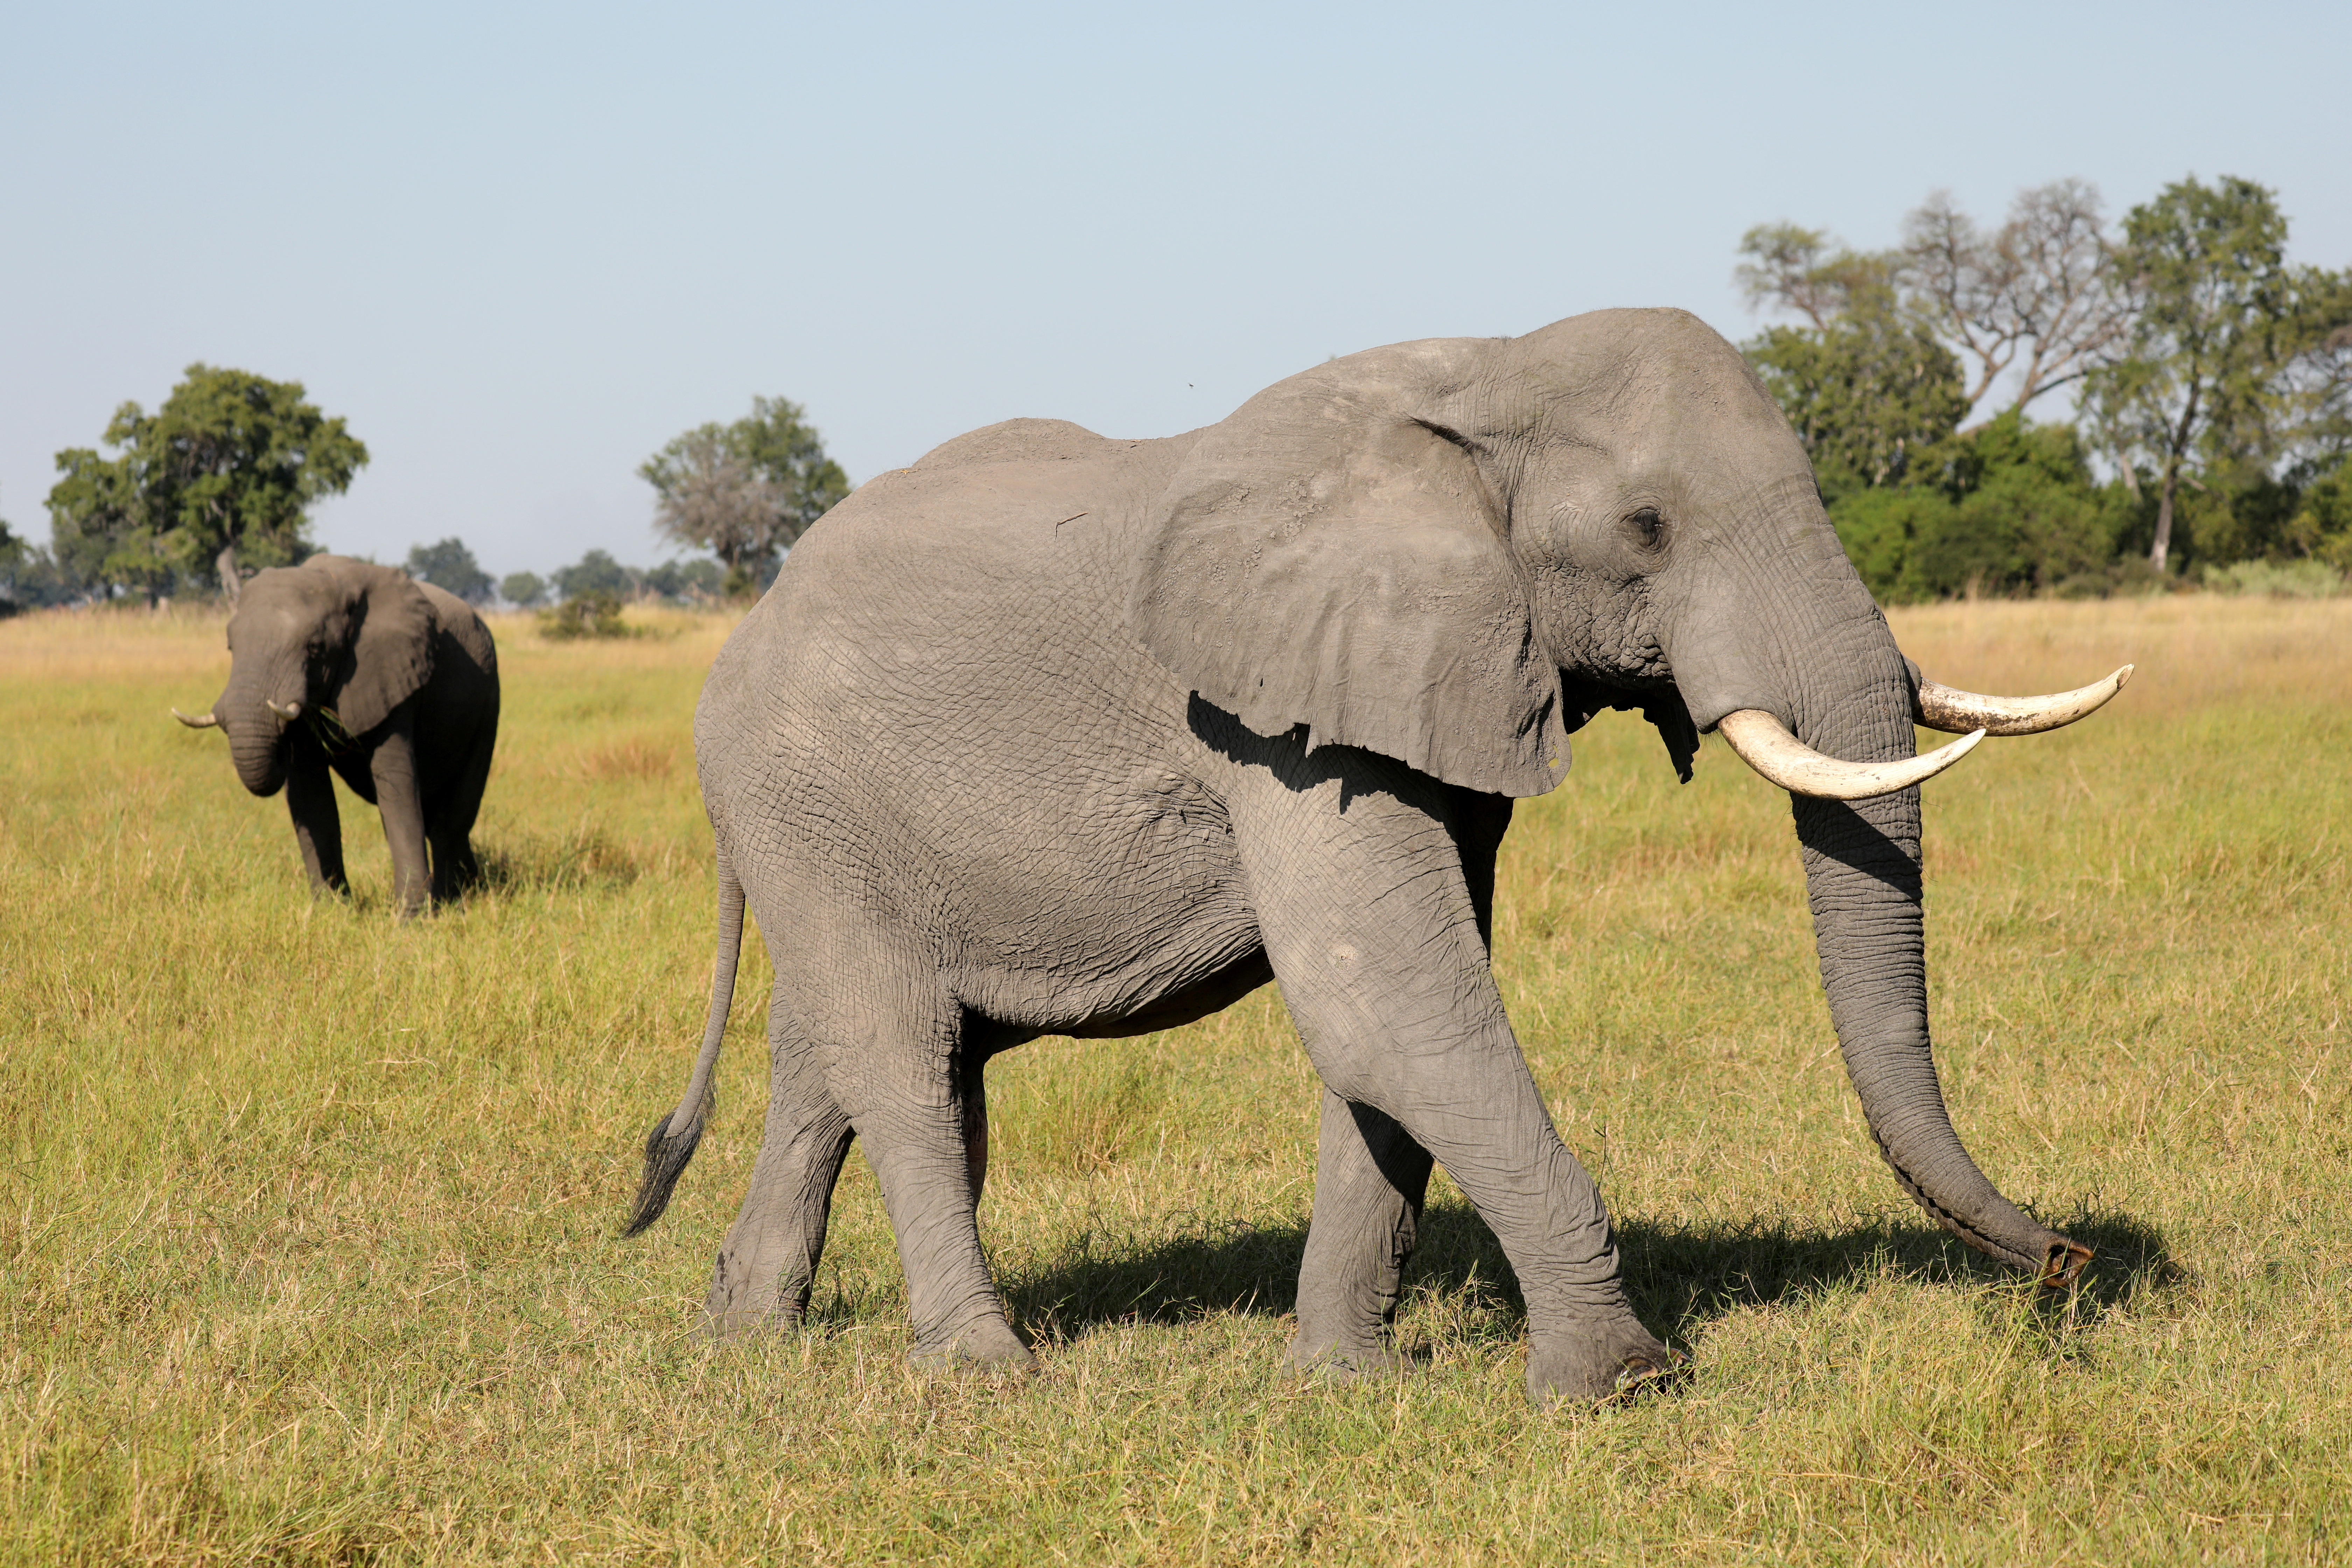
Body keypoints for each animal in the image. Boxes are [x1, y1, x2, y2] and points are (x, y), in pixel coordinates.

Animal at [174, 554, 500, 916]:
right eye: (230, 646)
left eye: (316, 648)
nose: (277, 742)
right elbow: (311, 795)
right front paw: (331, 913)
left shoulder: (392, 671)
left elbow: (397, 788)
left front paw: (411, 918)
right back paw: (469, 887)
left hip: (489, 700)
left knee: (453, 814)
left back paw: (455, 898)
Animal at [621, 308, 2130, 1406]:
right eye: (1645, 529)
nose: (2071, 1264)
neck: (1487, 375)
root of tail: (745, 627)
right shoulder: (1272, 720)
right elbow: (1389, 1003)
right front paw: (1616, 1386)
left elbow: (1396, 1029)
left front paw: (1341, 1385)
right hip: (800, 795)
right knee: (900, 1058)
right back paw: (988, 1377)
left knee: (843, 1056)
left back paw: (742, 1339)